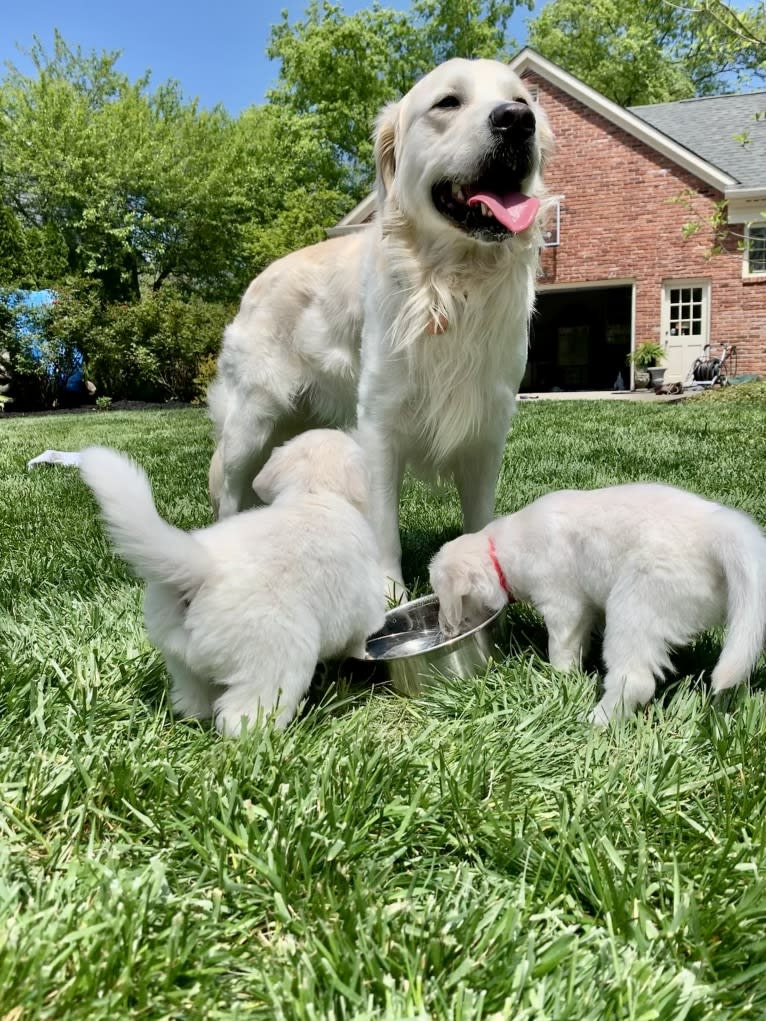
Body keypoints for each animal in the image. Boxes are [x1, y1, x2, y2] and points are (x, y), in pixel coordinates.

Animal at [81, 428, 386, 735]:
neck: (312, 493)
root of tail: (202, 572)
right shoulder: (364, 604)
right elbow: (359, 637)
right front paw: (363, 656)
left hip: (179, 658)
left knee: (192, 696)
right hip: (277, 660)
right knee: (243, 712)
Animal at [207, 57, 555, 596]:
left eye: (522, 99)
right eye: (448, 102)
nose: (518, 121)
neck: (449, 286)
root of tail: (255, 283)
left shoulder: (487, 426)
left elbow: (479, 516)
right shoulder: (380, 423)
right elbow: (384, 523)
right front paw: (390, 592)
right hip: (251, 422)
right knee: (229, 492)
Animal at [428, 481, 766, 722]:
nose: (444, 631)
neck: (499, 550)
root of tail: (720, 528)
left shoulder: (562, 605)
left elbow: (560, 648)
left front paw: (559, 678)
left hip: (634, 603)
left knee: (635, 680)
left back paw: (596, 720)